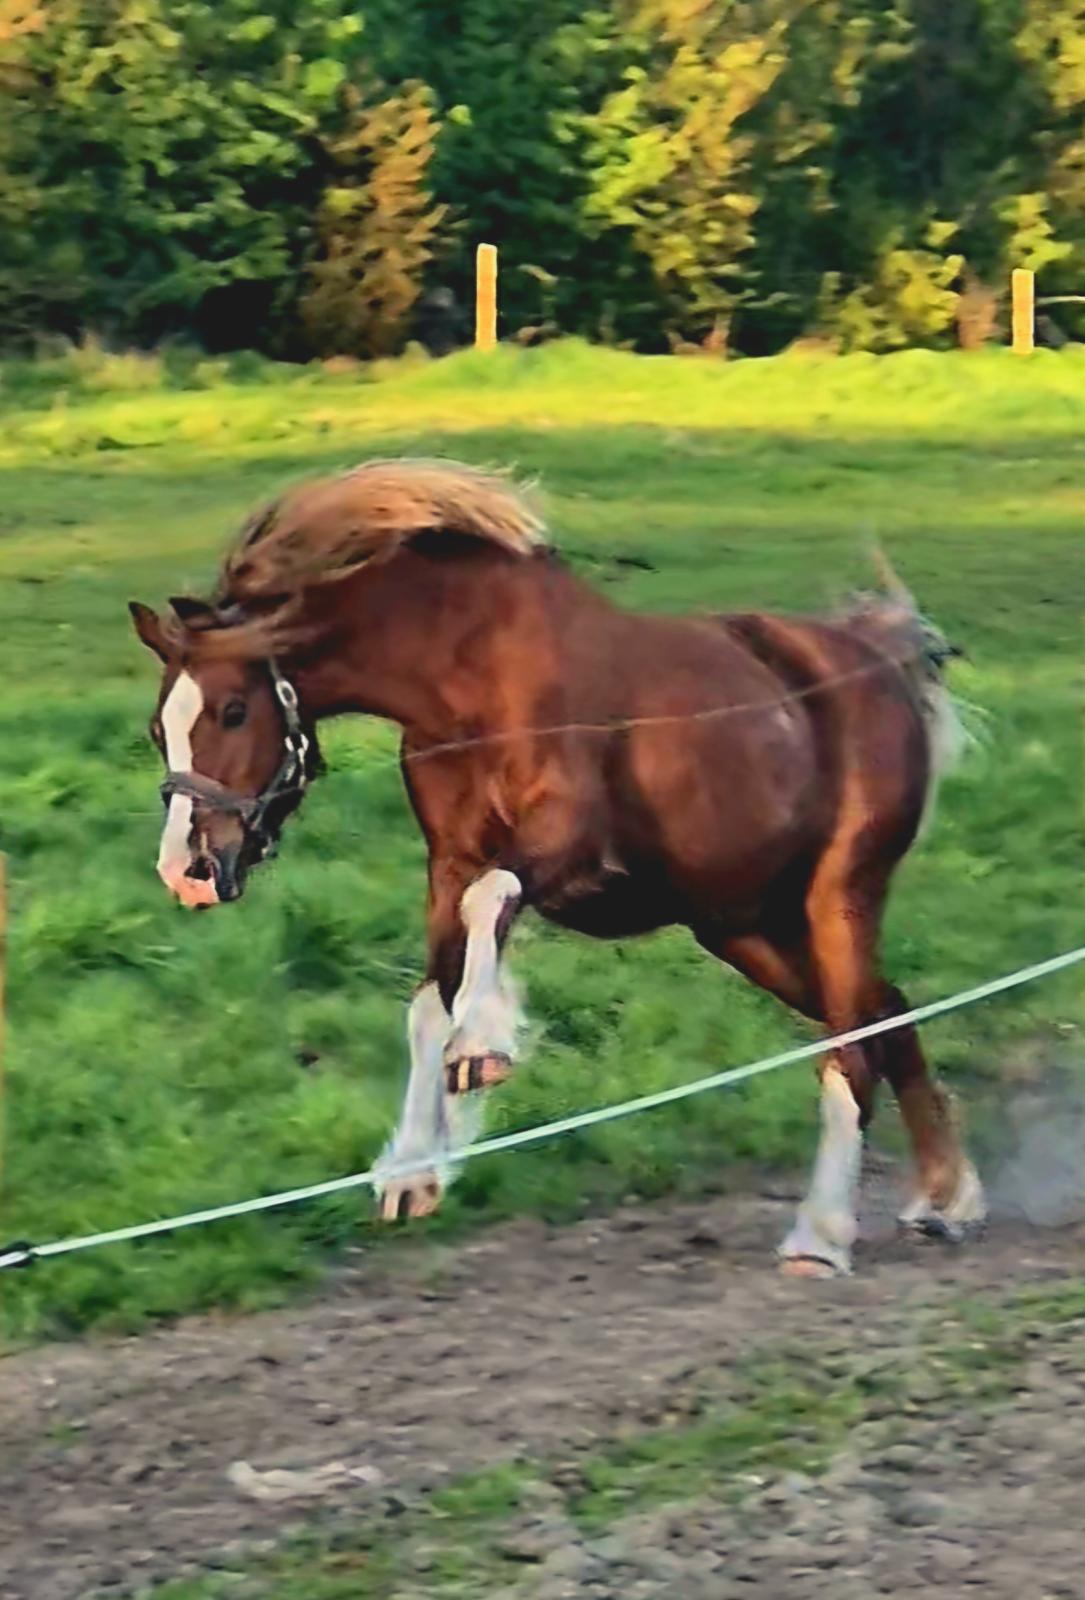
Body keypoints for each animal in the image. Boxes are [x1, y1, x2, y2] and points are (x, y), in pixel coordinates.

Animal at [128, 457, 985, 1277]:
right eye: (158, 728)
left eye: (234, 710)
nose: (187, 869)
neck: (474, 682)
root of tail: (877, 660)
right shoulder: (449, 861)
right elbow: (428, 1002)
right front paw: (412, 1170)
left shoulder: (568, 850)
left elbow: (491, 906)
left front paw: (481, 1051)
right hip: (741, 926)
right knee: (887, 1011)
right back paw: (947, 1196)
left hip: (838, 894)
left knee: (851, 1043)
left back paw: (821, 1234)